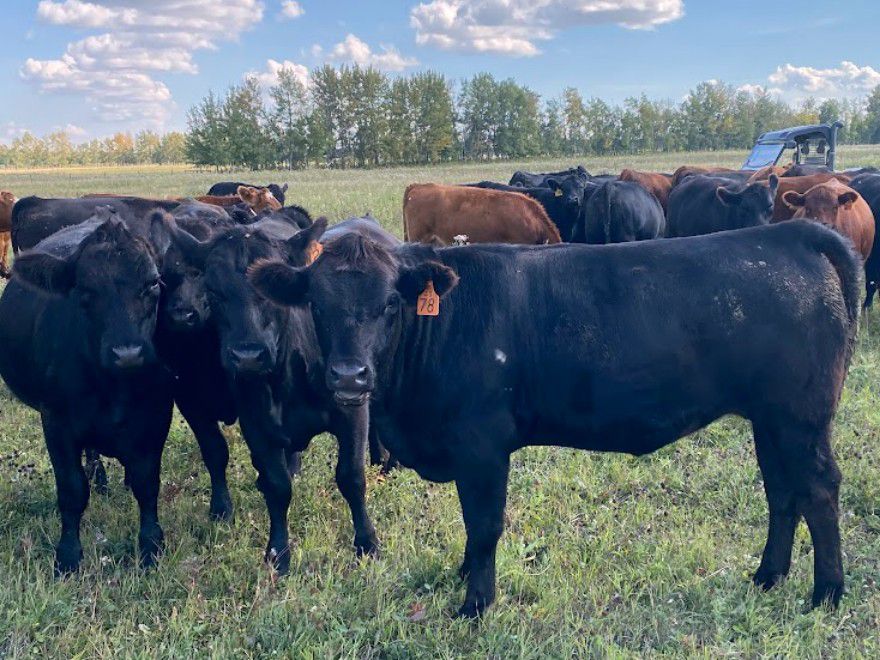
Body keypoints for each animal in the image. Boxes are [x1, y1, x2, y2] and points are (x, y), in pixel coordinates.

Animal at [0, 217, 174, 573]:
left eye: (152, 284)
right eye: (85, 291)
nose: (128, 353)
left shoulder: (156, 416)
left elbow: (147, 482)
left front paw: (150, 546)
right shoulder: (56, 422)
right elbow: (71, 489)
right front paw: (67, 556)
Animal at [160, 215, 382, 574]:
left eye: (269, 292)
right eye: (214, 292)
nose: (248, 355)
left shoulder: (352, 411)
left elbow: (351, 477)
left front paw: (367, 543)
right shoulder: (248, 421)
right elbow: (275, 485)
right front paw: (277, 552)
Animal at [248, 220, 861, 618]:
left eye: (390, 304)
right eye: (316, 305)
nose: (349, 377)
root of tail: (787, 233)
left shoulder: (482, 445)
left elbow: (485, 524)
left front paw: (475, 604)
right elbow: (472, 527)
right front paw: (464, 577)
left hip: (800, 418)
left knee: (818, 489)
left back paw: (826, 594)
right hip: (771, 420)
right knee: (782, 492)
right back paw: (767, 577)